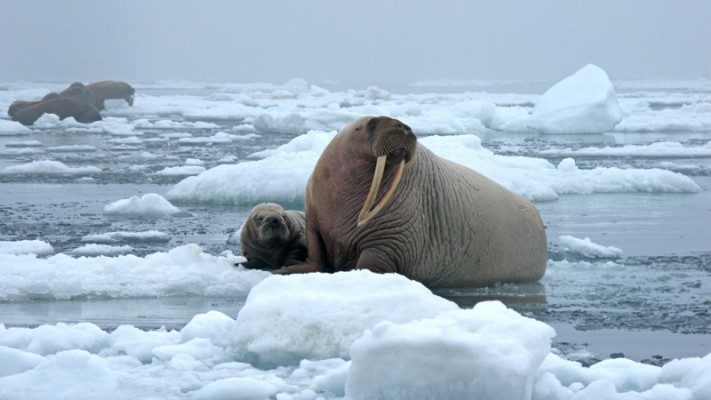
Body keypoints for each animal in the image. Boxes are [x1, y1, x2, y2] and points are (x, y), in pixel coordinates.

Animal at [276, 115, 548, 288]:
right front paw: (284, 270)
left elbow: (371, 263)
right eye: (372, 123)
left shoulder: (390, 239)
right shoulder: (314, 218)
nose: (404, 127)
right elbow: (316, 253)